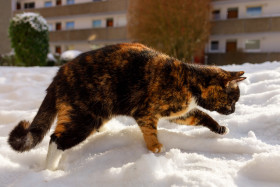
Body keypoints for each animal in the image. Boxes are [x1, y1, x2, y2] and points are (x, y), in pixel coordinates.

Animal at [7, 42, 246, 171]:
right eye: (233, 100)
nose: (234, 110)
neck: (190, 80)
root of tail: (58, 75)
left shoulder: (179, 113)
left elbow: (202, 116)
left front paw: (220, 128)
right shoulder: (146, 112)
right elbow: (150, 131)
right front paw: (155, 148)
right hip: (84, 116)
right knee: (56, 139)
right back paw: (50, 170)